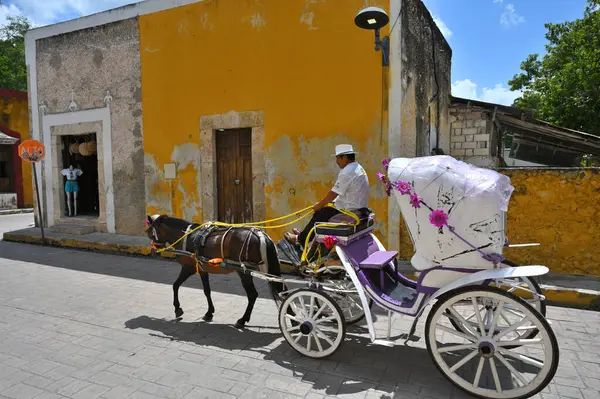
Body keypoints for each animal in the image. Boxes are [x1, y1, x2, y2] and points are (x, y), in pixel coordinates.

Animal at [145, 214, 286, 330]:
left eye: (151, 234)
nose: (153, 252)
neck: (185, 236)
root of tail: (261, 235)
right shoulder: (202, 269)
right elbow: (207, 291)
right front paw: (209, 313)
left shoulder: (188, 268)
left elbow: (175, 285)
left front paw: (178, 309)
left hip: (243, 272)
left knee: (252, 295)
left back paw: (242, 320)